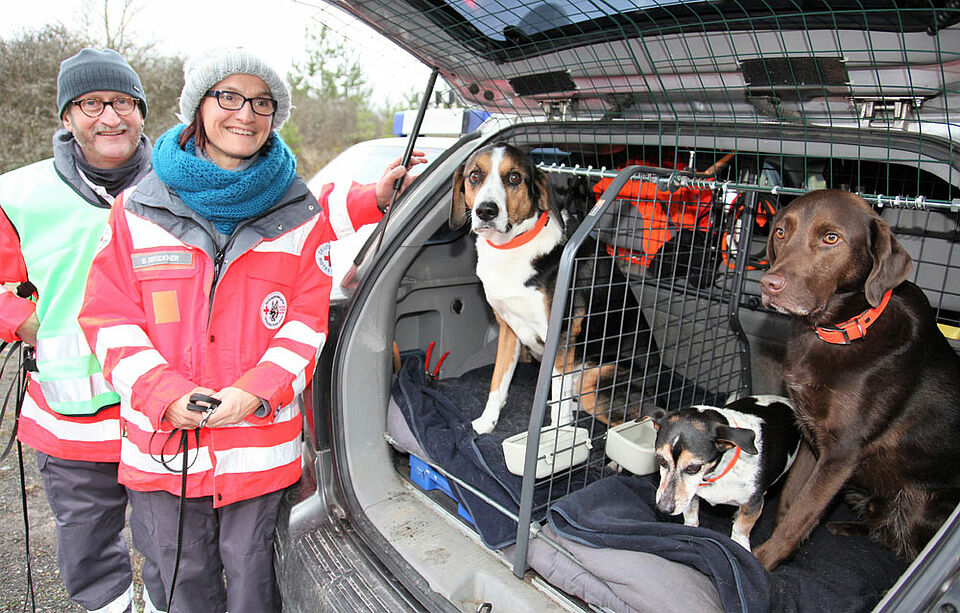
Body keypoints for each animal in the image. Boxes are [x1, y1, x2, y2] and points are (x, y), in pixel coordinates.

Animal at [452, 142, 660, 436]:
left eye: (514, 177)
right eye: (474, 175)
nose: (486, 211)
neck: (512, 246)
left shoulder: (561, 335)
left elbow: (558, 401)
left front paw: (556, 437)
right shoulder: (508, 329)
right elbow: (498, 382)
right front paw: (487, 421)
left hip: (594, 381)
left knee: (643, 419)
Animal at [652, 394, 804, 552]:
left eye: (693, 467)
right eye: (661, 459)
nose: (663, 508)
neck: (716, 475)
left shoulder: (754, 503)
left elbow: (740, 529)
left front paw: (740, 546)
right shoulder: (690, 495)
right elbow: (691, 518)